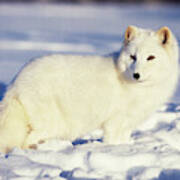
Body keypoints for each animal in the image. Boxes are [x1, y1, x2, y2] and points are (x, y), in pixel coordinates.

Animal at [0, 26, 179, 153]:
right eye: (132, 57)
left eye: (151, 57)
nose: (136, 75)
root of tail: (17, 80)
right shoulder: (115, 122)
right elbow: (113, 141)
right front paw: (117, 152)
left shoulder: (127, 124)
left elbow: (124, 140)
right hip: (53, 123)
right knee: (26, 140)